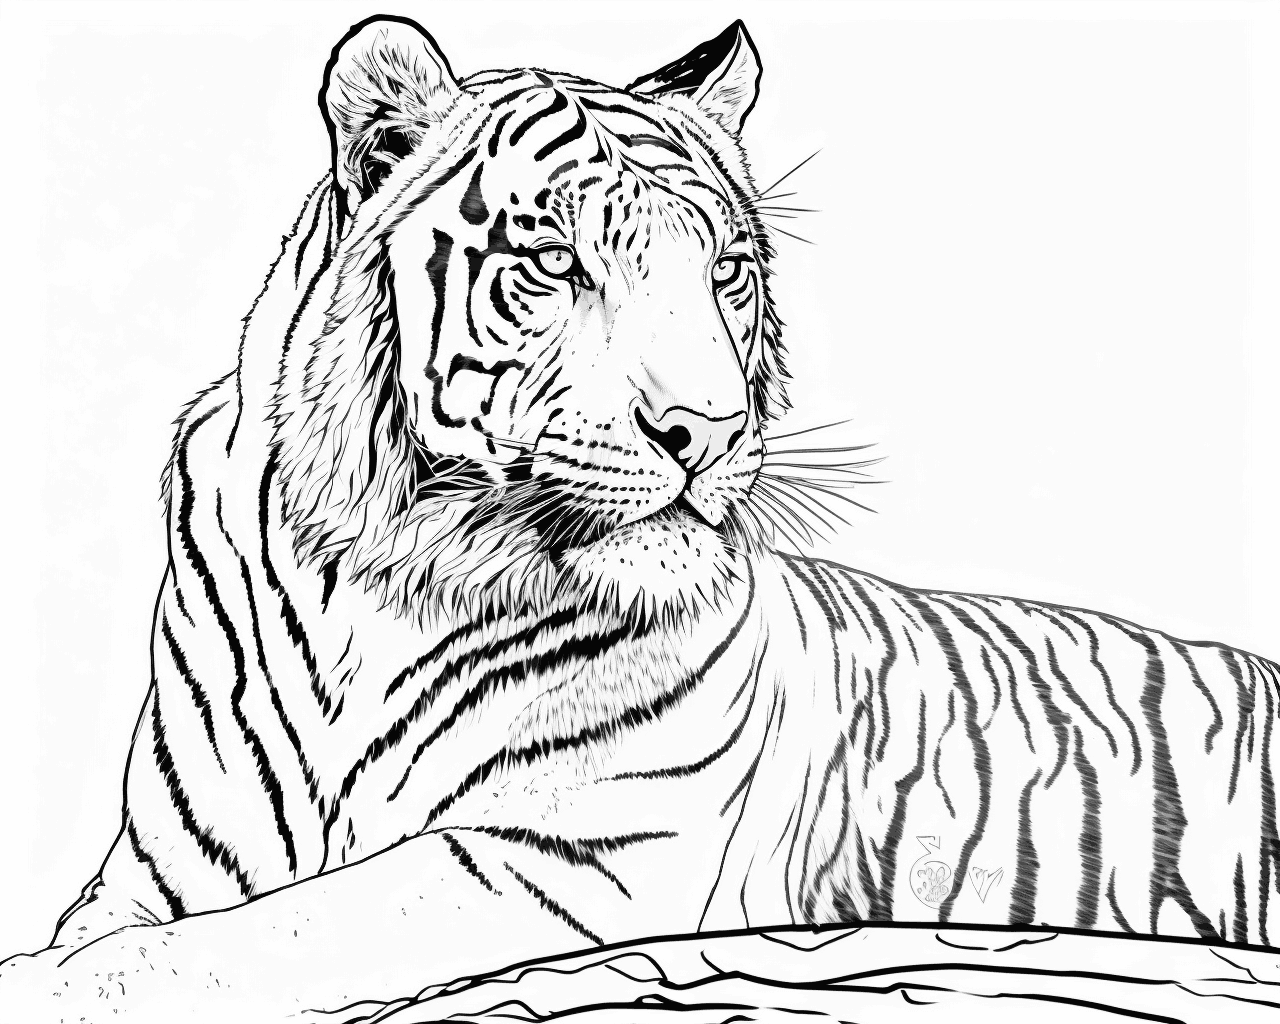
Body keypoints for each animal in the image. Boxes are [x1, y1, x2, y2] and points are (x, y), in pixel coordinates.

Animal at [1, 14, 1277, 1023]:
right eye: (553, 263)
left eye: (726, 271)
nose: (704, 429)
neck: (377, 580)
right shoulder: (161, 865)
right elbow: (146, 932)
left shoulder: (560, 860)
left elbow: (255, 938)